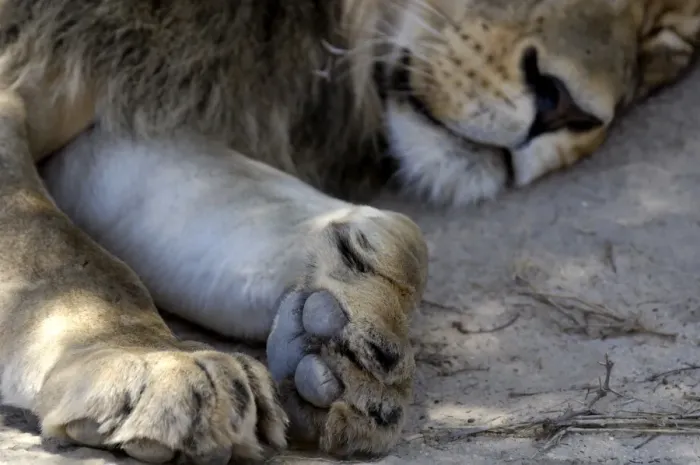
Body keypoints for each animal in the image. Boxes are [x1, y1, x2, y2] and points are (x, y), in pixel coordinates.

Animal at [0, 0, 697, 463]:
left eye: (664, 43)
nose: (563, 107)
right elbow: (59, 253)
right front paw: (149, 364)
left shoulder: (123, 104)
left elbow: (393, 232)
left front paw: (338, 336)